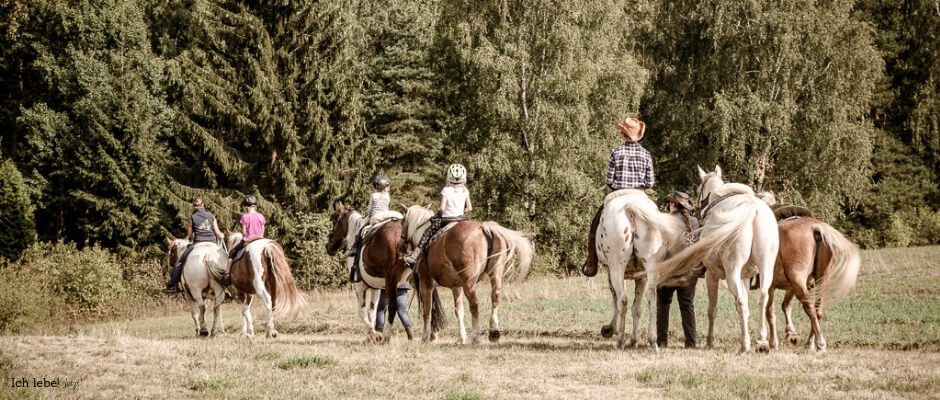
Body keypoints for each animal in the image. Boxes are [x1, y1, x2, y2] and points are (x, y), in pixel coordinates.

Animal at [398, 206, 536, 344]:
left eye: (403, 221)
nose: (400, 245)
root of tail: (484, 227)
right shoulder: (456, 286)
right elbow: (459, 311)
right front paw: (461, 338)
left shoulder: (426, 283)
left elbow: (427, 311)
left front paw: (424, 338)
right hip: (495, 274)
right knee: (495, 298)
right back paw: (494, 332)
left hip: (469, 282)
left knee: (474, 304)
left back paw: (475, 336)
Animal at [600, 190, 692, 350]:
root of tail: (630, 206)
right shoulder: (641, 277)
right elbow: (636, 309)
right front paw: (633, 340)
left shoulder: (611, 274)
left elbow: (617, 301)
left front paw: (610, 329)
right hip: (651, 267)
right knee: (652, 299)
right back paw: (652, 342)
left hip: (617, 268)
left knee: (622, 301)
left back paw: (619, 342)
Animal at [652, 166, 780, 354]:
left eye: (699, 189)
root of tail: (752, 210)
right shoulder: (745, 277)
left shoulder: (712, 275)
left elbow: (712, 309)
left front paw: (709, 342)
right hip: (766, 269)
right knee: (762, 299)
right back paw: (761, 340)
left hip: (732, 272)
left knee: (741, 302)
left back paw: (745, 346)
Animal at [756, 192, 860, 352]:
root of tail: (815, 227)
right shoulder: (791, 286)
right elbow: (785, 306)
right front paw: (791, 334)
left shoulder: (772, 286)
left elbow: (770, 312)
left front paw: (774, 343)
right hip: (819, 281)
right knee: (818, 310)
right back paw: (811, 343)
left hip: (798, 281)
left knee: (809, 307)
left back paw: (820, 343)